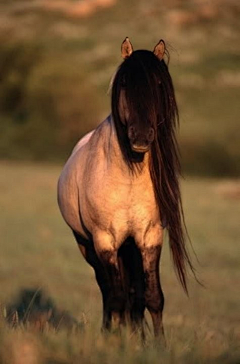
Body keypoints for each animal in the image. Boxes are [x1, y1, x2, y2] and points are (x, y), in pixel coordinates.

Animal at [58, 38, 195, 340]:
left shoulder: (150, 237)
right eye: (123, 84)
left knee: (134, 293)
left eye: (158, 83)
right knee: (109, 291)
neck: (128, 179)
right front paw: (114, 341)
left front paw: (155, 344)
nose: (141, 137)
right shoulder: (104, 241)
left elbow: (152, 297)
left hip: (130, 246)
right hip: (88, 246)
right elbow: (116, 297)